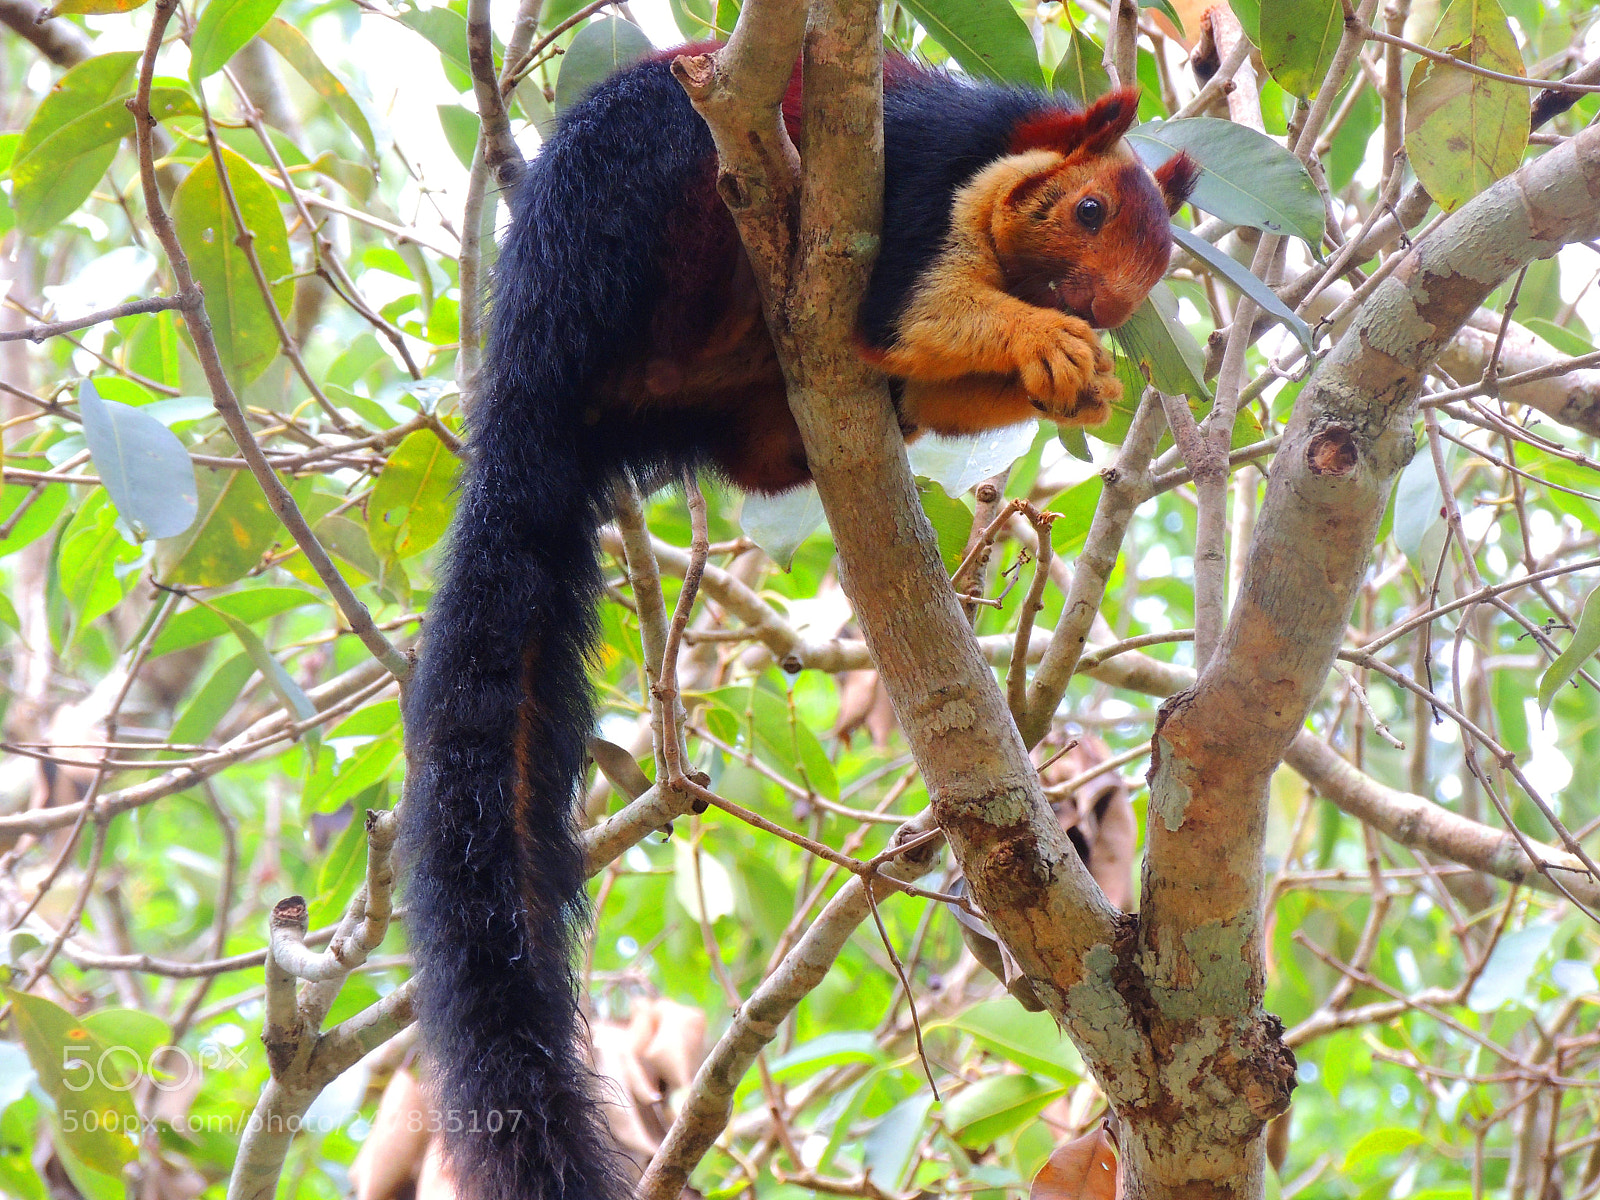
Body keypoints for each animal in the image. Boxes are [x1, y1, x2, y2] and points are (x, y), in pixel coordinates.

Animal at [400, 45, 1197, 1200]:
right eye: (1088, 210)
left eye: (1158, 266)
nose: (1095, 306)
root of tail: (541, 388)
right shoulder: (911, 177)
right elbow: (903, 314)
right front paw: (1045, 341)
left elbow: (918, 375)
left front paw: (1077, 379)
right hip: (652, 208)